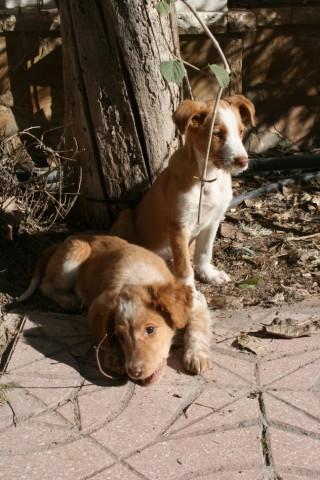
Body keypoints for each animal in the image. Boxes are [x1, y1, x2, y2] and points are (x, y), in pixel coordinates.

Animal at [18, 234, 212, 384]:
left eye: (150, 329)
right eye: (121, 336)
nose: (134, 372)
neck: (140, 280)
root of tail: (65, 240)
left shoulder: (196, 301)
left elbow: (197, 327)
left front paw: (196, 356)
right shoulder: (99, 303)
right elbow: (103, 329)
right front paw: (114, 356)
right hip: (75, 254)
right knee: (45, 285)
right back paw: (70, 301)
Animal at [111, 95, 256, 286]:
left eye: (241, 131)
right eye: (217, 134)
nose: (243, 161)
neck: (207, 178)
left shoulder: (213, 220)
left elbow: (204, 253)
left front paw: (209, 274)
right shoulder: (179, 226)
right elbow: (185, 268)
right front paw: (191, 291)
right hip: (125, 217)